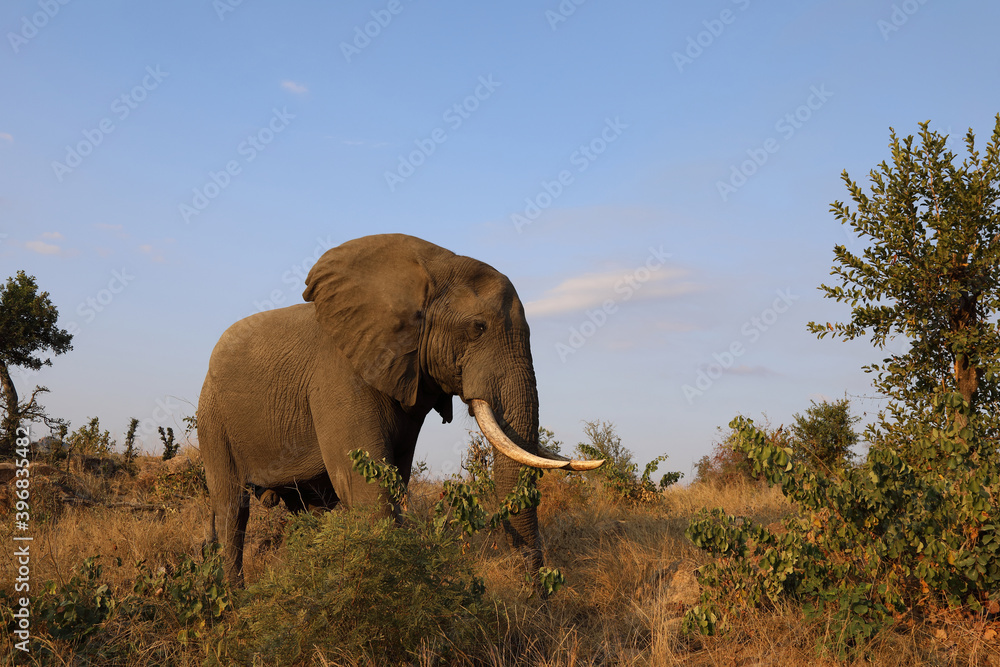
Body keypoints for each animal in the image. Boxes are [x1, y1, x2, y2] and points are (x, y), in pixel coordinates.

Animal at [198, 233, 602, 588]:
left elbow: (396, 478)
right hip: (213, 418)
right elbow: (367, 487)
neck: (430, 270)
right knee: (232, 507)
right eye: (477, 328)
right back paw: (234, 601)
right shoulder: (340, 375)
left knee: (309, 510)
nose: (538, 595)